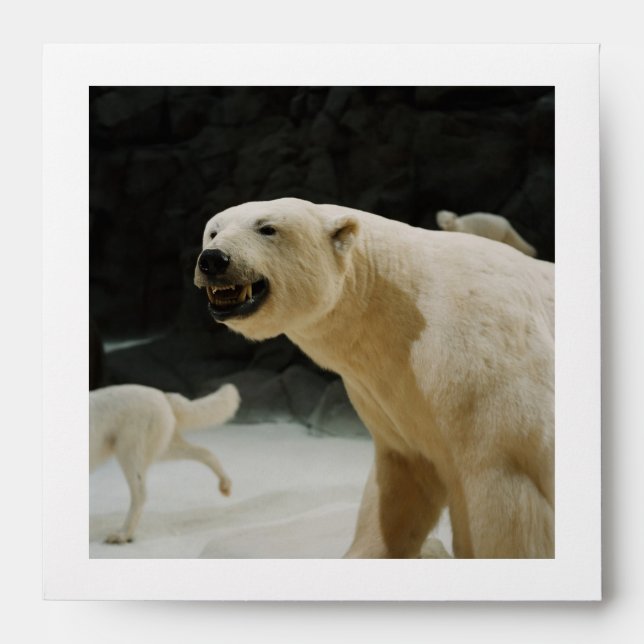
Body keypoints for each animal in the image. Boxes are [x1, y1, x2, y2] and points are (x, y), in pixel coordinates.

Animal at [194, 197, 554, 558]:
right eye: (213, 231)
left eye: (267, 228)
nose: (213, 259)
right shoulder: (391, 394)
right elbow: (399, 489)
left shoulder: (484, 378)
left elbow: (505, 509)